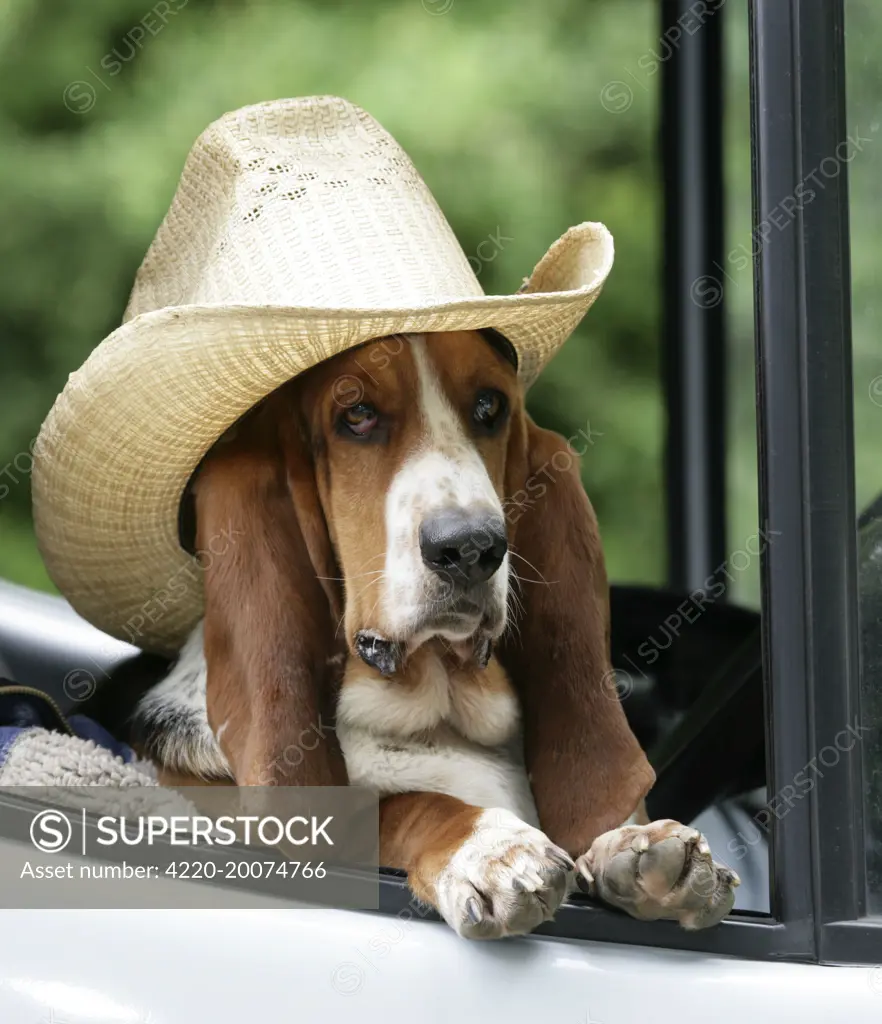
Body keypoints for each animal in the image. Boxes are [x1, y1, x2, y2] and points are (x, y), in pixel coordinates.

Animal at [130, 327, 737, 937]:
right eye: (356, 415)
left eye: (489, 407)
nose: (470, 547)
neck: (439, 715)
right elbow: (401, 806)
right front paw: (491, 847)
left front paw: (637, 847)